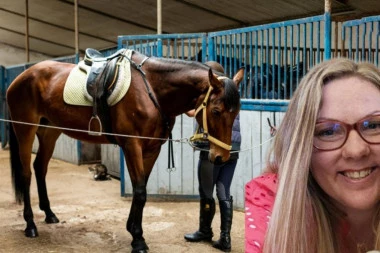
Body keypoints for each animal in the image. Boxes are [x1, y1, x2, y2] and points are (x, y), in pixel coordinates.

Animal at [5, 49, 243, 253]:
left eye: (236, 112)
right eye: (216, 110)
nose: (221, 157)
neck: (152, 90)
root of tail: (19, 78)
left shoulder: (152, 148)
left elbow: (141, 189)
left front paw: (133, 230)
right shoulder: (132, 145)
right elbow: (139, 191)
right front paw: (138, 239)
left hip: (49, 131)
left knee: (40, 168)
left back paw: (49, 214)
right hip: (25, 130)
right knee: (26, 174)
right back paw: (30, 225)